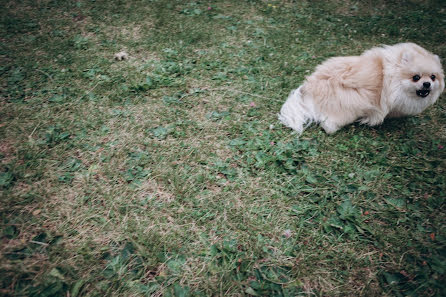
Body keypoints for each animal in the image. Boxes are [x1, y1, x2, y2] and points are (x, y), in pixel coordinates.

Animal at [278, 42, 442, 134]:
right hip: (351, 102)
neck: (395, 76)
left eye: (433, 77)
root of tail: (310, 85)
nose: (427, 84)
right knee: (328, 124)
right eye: (416, 77)